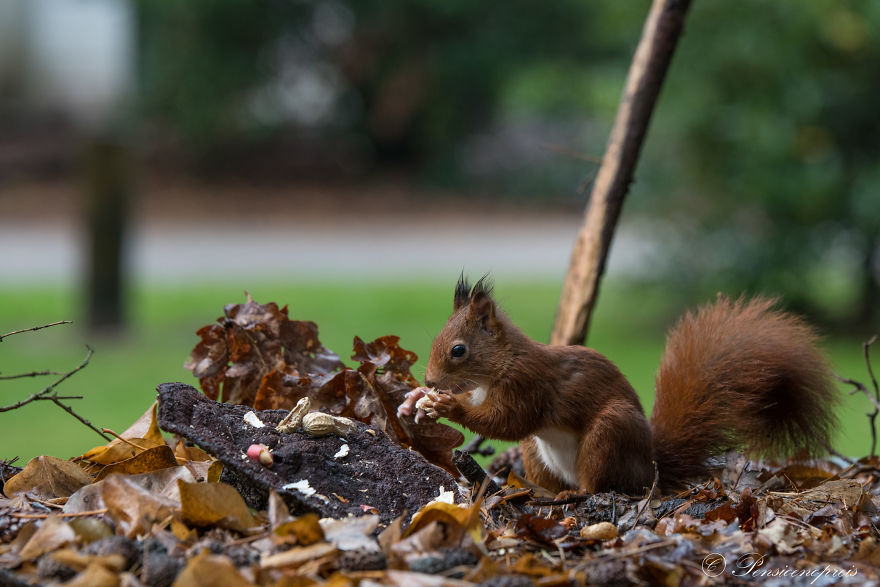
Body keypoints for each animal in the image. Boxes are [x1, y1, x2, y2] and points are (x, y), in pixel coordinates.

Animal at [402, 275, 839, 494]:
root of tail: (652, 468)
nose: (430, 379)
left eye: (458, 350)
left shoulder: (528, 384)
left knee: (598, 485)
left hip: (609, 434)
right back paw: (540, 491)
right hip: (536, 453)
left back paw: (577, 493)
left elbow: (507, 421)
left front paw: (446, 406)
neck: (497, 367)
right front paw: (416, 399)